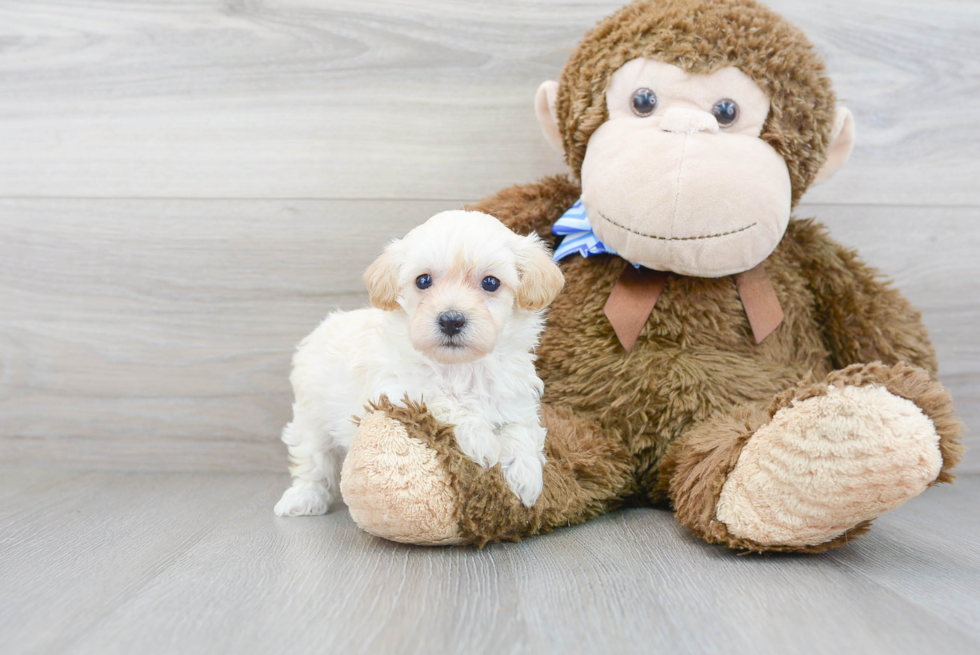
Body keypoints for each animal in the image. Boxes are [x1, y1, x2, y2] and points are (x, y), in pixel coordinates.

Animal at [276, 210, 568, 516]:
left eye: (491, 283)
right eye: (423, 280)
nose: (451, 320)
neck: (461, 367)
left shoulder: (516, 400)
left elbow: (520, 429)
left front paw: (526, 475)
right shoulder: (395, 391)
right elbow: (444, 401)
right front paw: (481, 441)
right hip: (311, 418)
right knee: (313, 461)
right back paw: (303, 498)